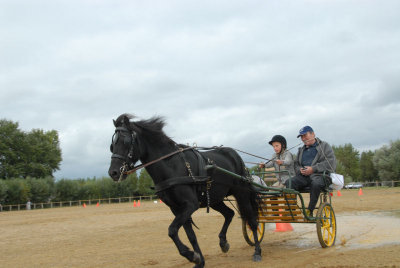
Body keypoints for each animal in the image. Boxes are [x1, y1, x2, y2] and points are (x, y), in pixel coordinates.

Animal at [108, 114, 260, 266]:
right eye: (112, 145)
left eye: (126, 141)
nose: (113, 172)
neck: (171, 166)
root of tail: (235, 155)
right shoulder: (177, 208)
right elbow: (190, 235)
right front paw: (199, 260)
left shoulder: (190, 205)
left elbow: (172, 230)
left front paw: (191, 255)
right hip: (215, 199)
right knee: (229, 214)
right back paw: (223, 242)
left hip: (242, 194)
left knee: (252, 221)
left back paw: (257, 252)